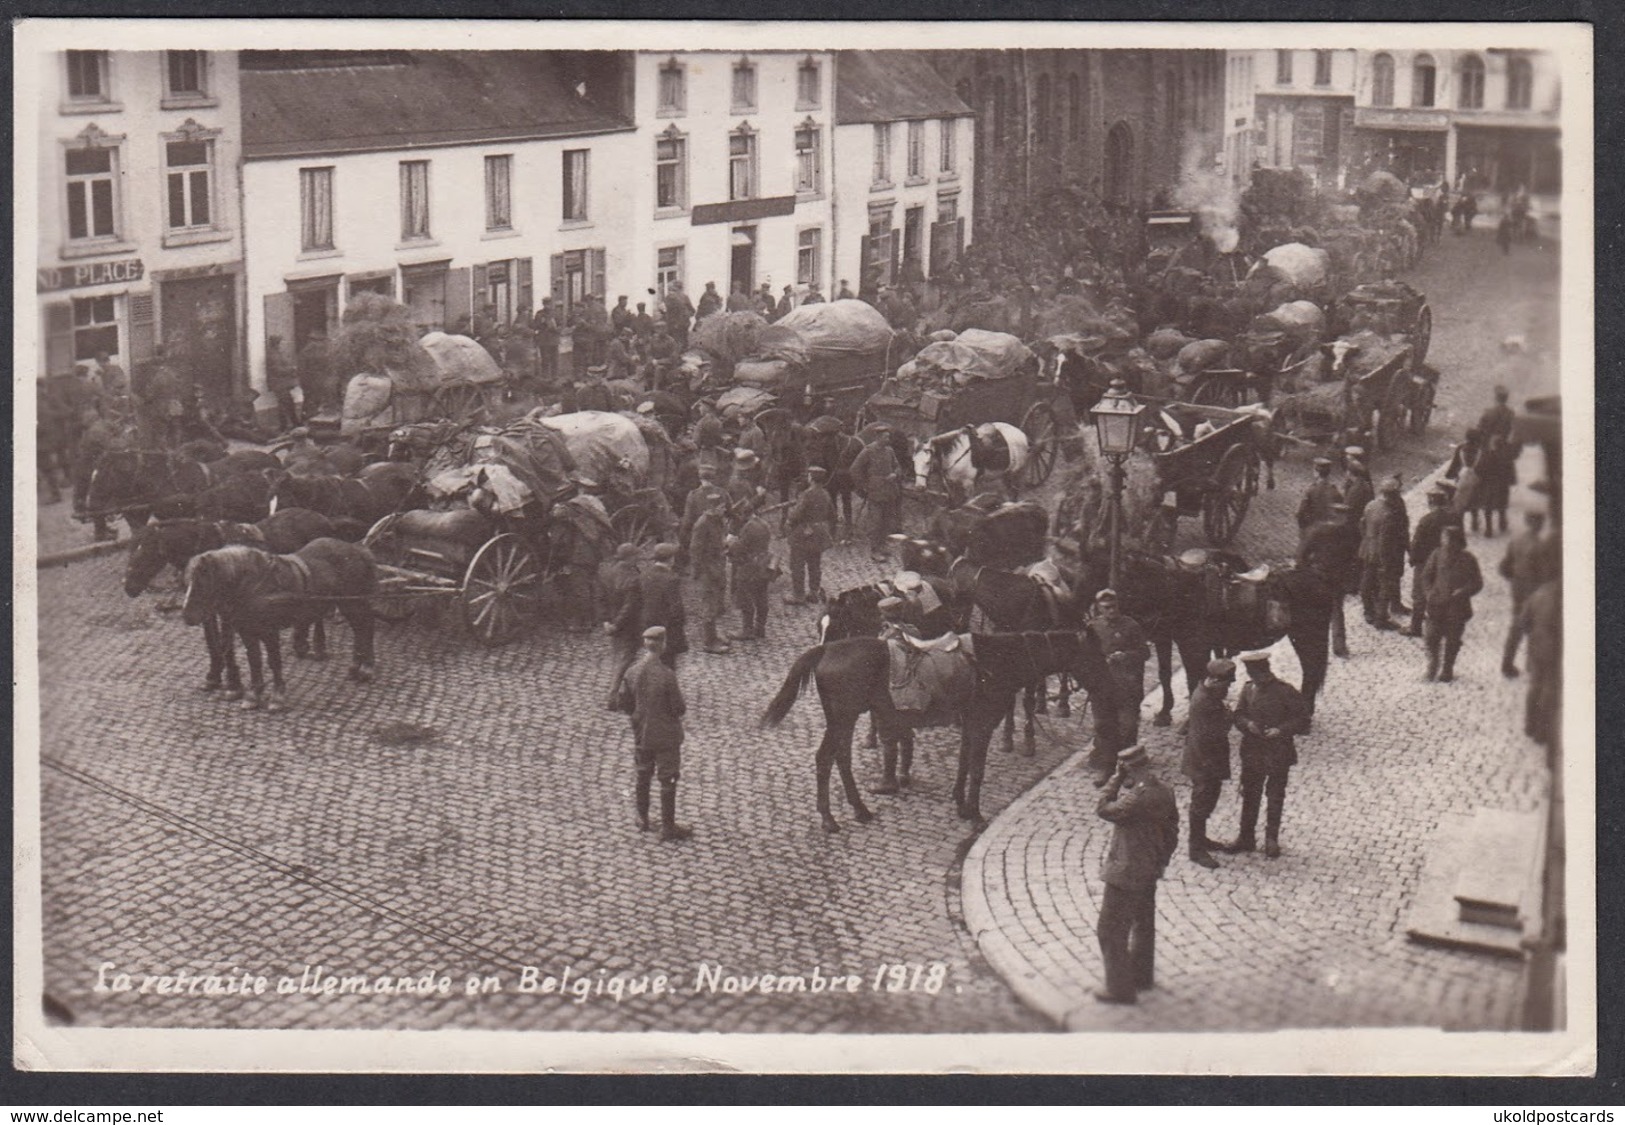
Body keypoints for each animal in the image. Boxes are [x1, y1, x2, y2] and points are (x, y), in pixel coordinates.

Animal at [182, 539, 378, 712]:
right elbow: (254, 660)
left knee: (366, 628)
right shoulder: (247, 631)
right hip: (347, 604)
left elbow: (274, 661)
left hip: (353, 603)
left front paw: (277, 697)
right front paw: (254, 695)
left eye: (202, 583)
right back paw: (355, 667)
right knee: (360, 631)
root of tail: (358, 550)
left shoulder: (269, 631)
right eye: (188, 581)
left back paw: (367, 668)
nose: (187, 616)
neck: (255, 586)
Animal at [757, 627, 1118, 829]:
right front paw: (975, 813)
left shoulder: (970, 722)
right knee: (826, 759)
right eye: (1095, 654)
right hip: (843, 717)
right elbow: (977, 769)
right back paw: (830, 819)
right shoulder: (983, 722)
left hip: (844, 718)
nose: (1108, 687)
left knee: (840, 758)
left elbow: (963, 763)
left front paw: (960, 802)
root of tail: (826, 648)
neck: (996, 660)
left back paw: (859, 810)